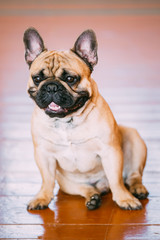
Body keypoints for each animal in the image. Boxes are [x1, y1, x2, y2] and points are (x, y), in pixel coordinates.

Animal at [23, 27, 149, 210]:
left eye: (70, 79)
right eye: (37, 78)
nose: (51, 87)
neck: (66, 121)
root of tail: (101, 186)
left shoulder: (110, 151)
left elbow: (116, 180)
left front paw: (124, 199)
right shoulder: (43, 154)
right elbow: (46, 179)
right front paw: (42, 197)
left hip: (134, 139)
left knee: (133, 175)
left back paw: (137, 189)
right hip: (67, 184)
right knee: (84, 189)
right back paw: (93, 198)